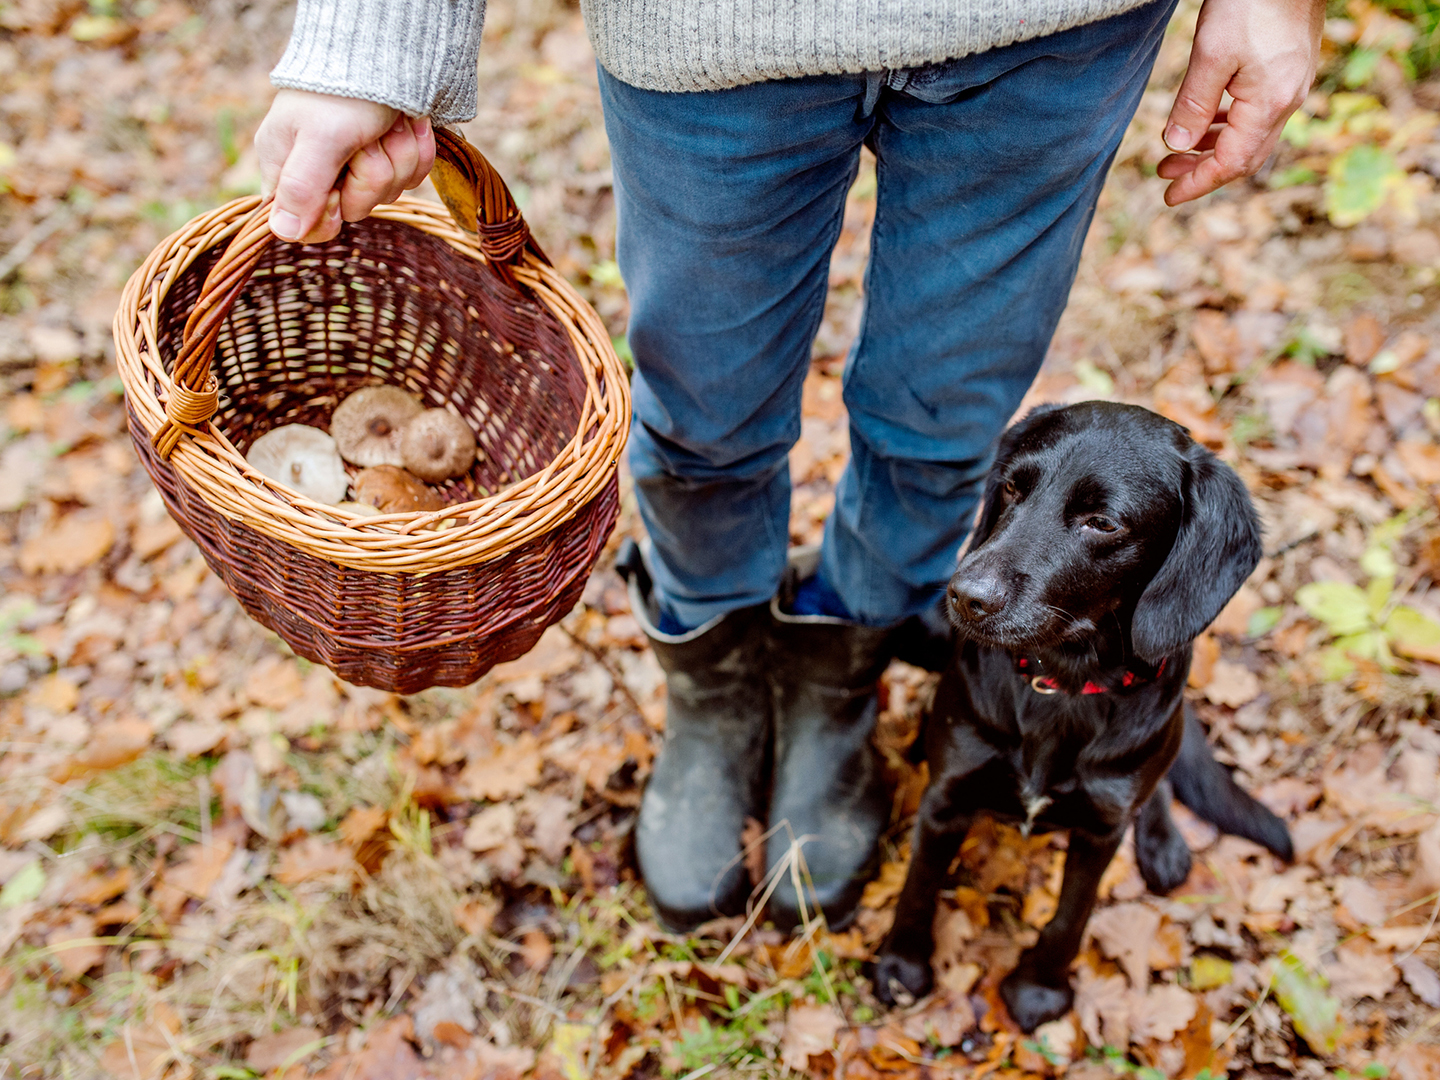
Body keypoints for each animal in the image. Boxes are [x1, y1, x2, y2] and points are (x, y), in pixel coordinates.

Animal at [875, 403, 1296, 1031]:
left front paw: (1039, 990)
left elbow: (1071, 915)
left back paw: (1164, 841)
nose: (965, 595)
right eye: (1011, 487)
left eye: (1103, 523)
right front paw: (902, 967)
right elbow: (919, 886)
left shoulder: (1100, 831)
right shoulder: (945, 797)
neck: (1062, 685)